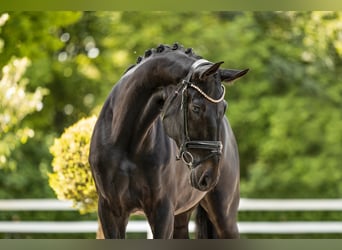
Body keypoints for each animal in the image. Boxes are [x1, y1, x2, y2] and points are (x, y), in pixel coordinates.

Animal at [88, 43, 248, 238]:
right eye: (196, 108)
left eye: (224, 108)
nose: (209, 176)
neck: (126, 143)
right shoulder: (110, 211)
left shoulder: (162, 212)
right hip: (182, 215)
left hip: (224, 216)